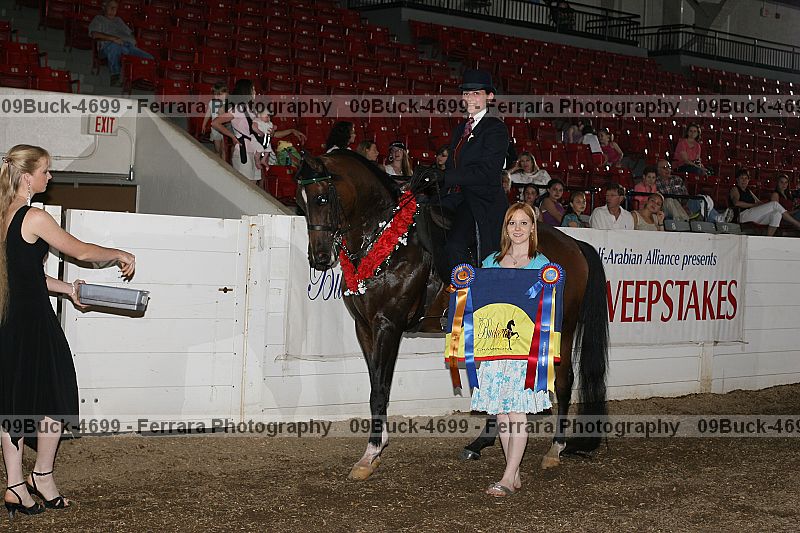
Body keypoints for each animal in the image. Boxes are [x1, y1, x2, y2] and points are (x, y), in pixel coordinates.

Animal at [295, 149, 608, 480]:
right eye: (300, 203)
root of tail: (573, 244)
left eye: (321, 199)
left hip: (562, 324)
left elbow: (380, 389)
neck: (390, 243)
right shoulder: (364, 327)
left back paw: (555, 449)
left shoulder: (387, 326)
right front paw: (376, 448)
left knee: (563, 380)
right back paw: (481, 442)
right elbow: (374, 387)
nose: (319, 258)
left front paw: (370, 455)